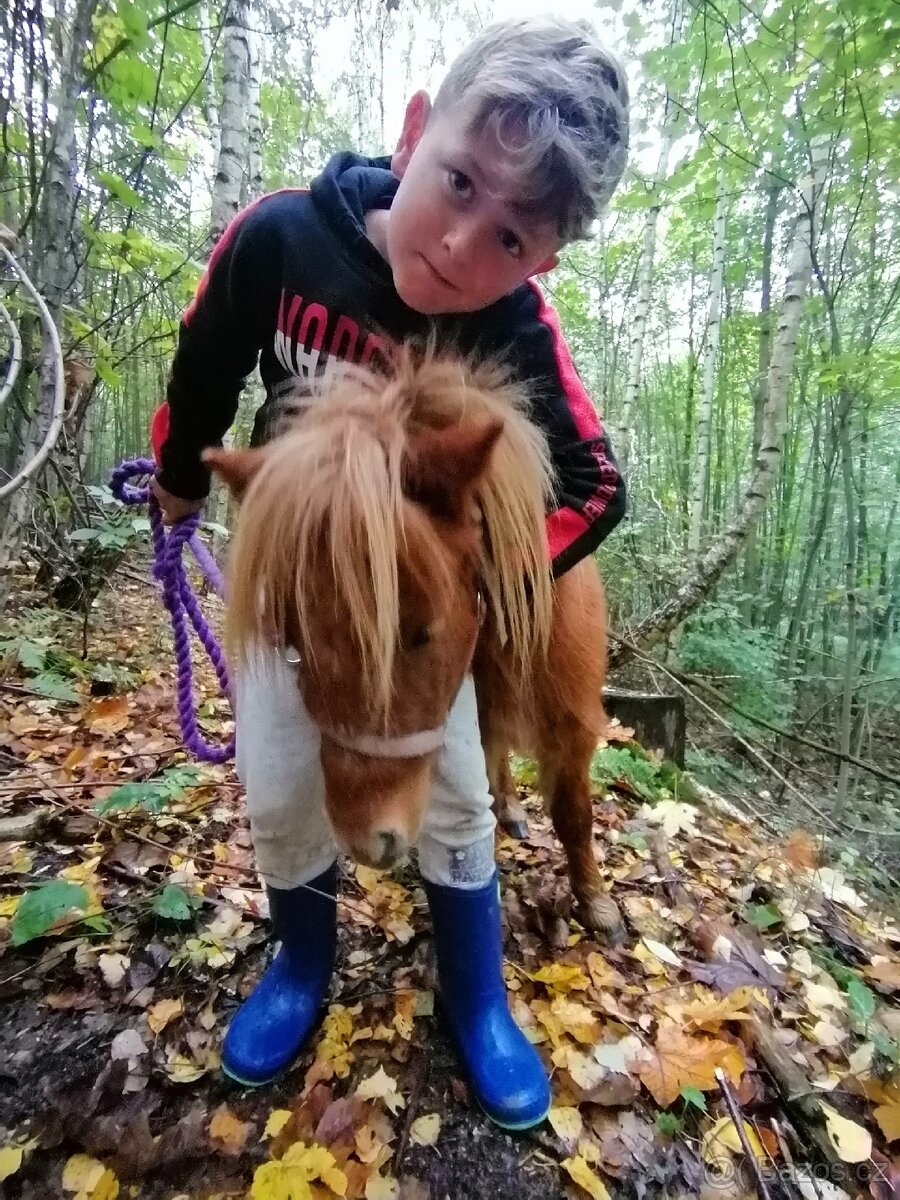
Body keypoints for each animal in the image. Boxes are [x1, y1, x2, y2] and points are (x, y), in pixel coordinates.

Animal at [205, 351, 625, 942]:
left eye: (421, 632)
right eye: (291, 643)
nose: (366, 839)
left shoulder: (568, 716)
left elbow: (573, 811)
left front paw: (594, 901)